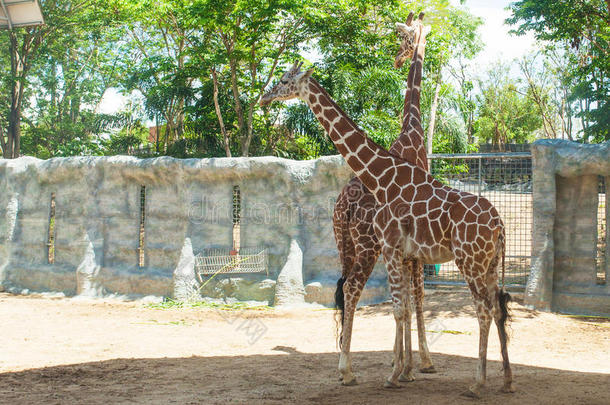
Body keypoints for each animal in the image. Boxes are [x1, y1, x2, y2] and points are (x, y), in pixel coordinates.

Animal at [258, 61, 510, 396]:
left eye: (285, 80)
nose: (265, 97)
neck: (382, 178)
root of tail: (499, 224)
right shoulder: (403, 252)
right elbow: (403, 306)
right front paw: (402, 370)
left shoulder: (391, 247)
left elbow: (400, 308)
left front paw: (395, 374)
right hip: (490, 263)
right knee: (498, 307)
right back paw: (507, 380)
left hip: (468, 261)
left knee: (482, 309)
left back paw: (477, 382)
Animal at [330, 11, 434, 386]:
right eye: (404, 38)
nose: (399, 58)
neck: (413, 129)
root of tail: (343, 208)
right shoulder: (413, 247)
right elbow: (416, 294)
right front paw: (421, 363)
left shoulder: (404, 246)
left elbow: (401, 297)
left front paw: (400, 362)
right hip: (368, 247)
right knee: (353, 289)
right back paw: (347, 370)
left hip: (344, 244)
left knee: (342, 289)